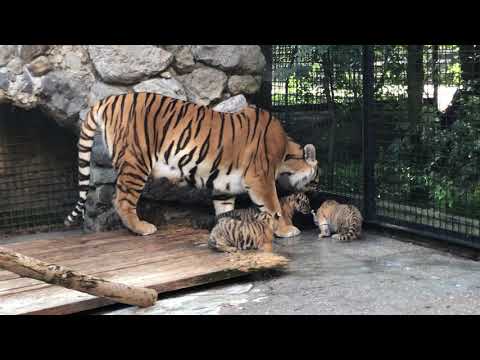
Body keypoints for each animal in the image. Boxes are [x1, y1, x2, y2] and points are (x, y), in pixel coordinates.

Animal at [64, 93, 318, 238]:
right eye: (315, 178)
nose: (316, 192)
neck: (286, 154)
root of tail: (109, 99)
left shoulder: (223, 184)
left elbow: (225, 209)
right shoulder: (261, 180)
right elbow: (274, 207)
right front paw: (286, 230)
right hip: (136, 162)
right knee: (122, 199)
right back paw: (142, 228)